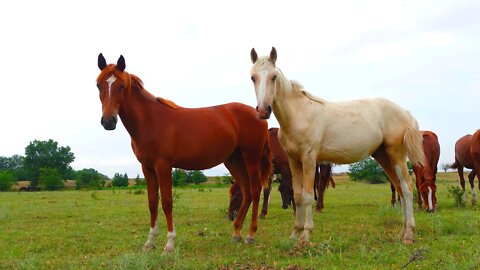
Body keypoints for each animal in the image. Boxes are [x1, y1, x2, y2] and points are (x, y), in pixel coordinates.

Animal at [95, 53, 272, 252]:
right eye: (98, 84)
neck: (150, 120)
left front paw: (169, 244)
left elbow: (167, 202)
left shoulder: (163, 166)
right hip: (234, 160)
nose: (108, 121)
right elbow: (152, 202)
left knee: (255, 191)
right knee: (246, 192)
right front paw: (150, 242)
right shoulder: (147, 167)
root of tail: (258, 114)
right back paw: (236, 233)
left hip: (251, 157)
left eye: (121, 86)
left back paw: (250, 234)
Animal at [249, 48, 426, 245]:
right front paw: (294, 233)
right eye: (253, 77)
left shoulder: (309, 158)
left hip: (397, 155)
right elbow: (298, 195)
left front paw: (305, 235)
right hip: (383, 156)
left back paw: (409, 234)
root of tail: (405, 112)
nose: (263, 111)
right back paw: (402, 232)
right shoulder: (293, 161)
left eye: (273, 77)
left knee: (407, 189)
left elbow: (308, 195)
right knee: (400, 190)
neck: (299, 114)